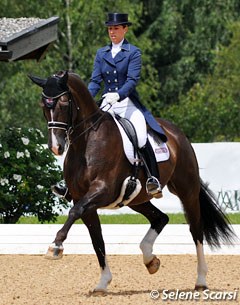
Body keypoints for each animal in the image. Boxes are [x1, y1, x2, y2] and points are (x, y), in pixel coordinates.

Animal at [29, 70, 235, 294]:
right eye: (43, 105)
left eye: (64, 102)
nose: (56, 147)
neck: (86, 143)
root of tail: (176, 133)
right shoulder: (82, 199)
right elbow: (96, 238)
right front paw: (102, 282)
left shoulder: (102, 190)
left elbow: (75, 213)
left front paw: (55, 246)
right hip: (137, 199)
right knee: (160, 218)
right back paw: (150, 260)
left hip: (187, 190)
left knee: (196, 229)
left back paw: (201, 280)